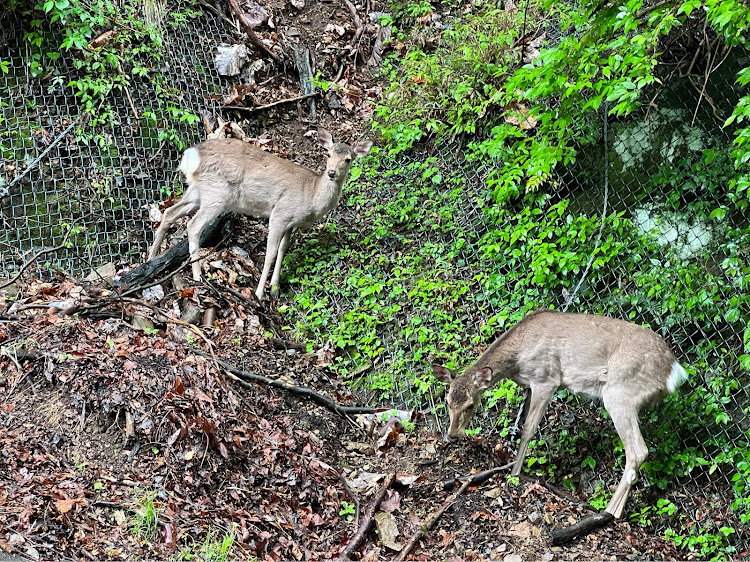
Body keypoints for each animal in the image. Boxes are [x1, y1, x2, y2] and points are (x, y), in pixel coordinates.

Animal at [148, 130, 374, 300]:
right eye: (328, 154)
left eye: (348, 159)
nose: (332, 173)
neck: (311, 196)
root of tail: (190, 156)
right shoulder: (280, 213)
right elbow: (270, 254)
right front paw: (259, 293)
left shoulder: (291, 223)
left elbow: (283, 250)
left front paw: (275, 289)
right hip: (216, 193)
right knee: (193, 226)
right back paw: (196, 276)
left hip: (197, 190)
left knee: (169, 212)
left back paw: (150, 259)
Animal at [432, 306, 692, 516]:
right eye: (446, 400)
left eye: (471, 405)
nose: (452, 434)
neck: (516, 359)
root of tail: (673, 370)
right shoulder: (530, 385)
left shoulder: (546, 379)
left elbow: (528, 430)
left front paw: (514, 473)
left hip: (620, 394)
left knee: (638, 450)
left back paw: (609, 511)